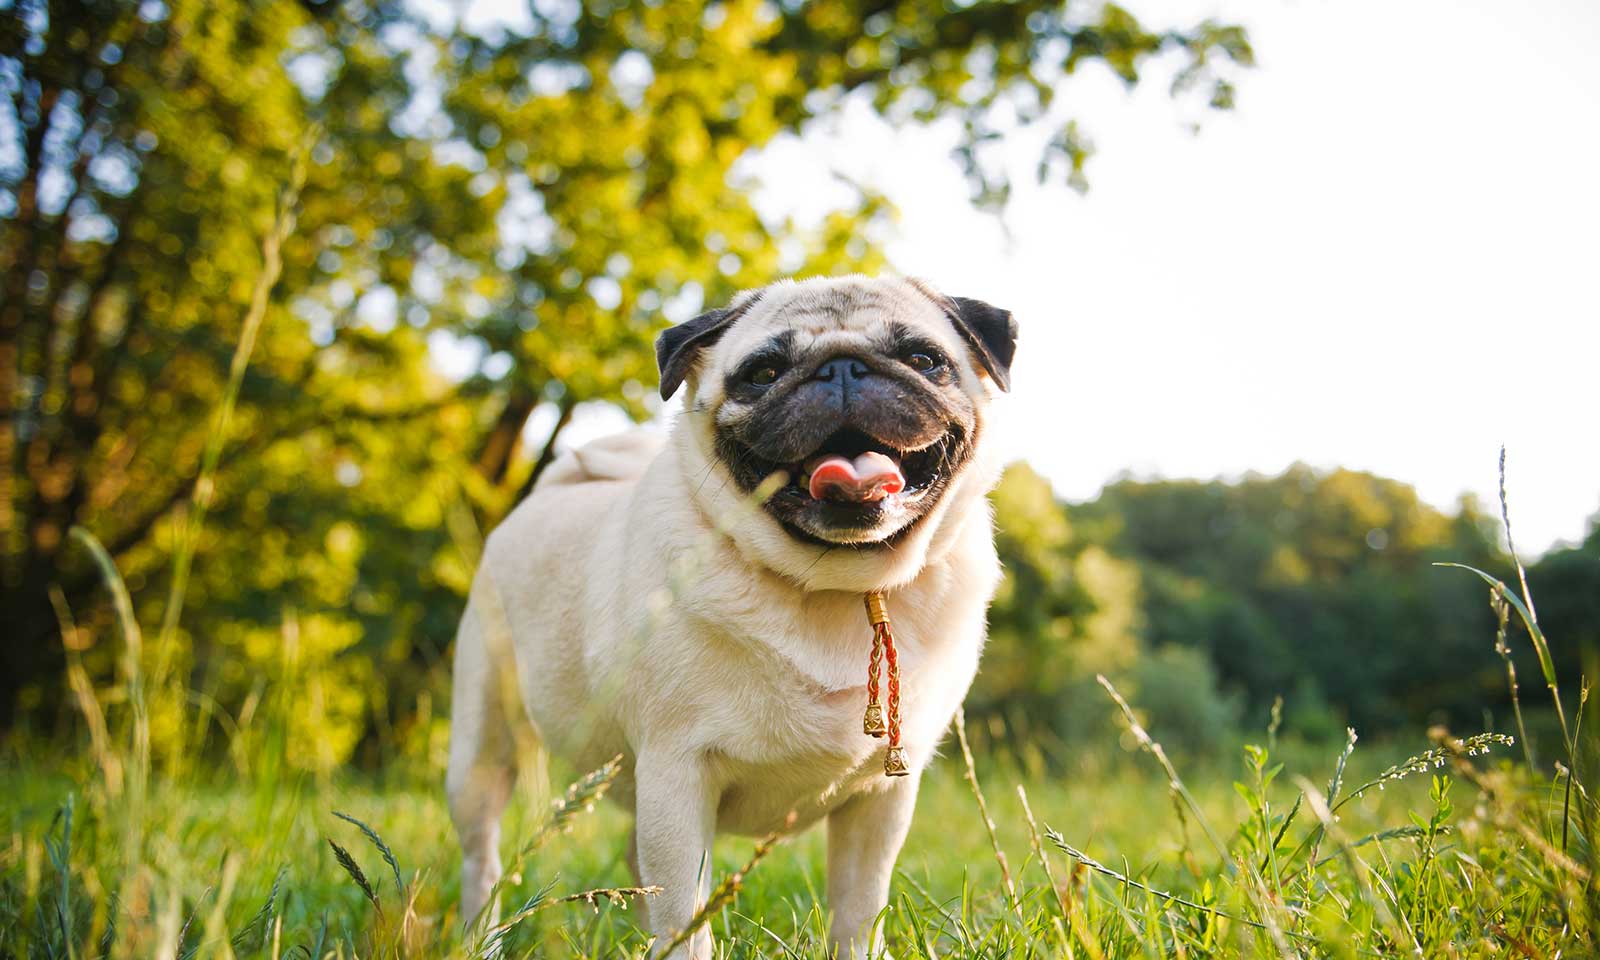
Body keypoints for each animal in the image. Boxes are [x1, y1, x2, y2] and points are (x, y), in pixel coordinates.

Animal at [448, 273, 1011, 953]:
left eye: (924, 360)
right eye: (763, 373)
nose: (842, 367)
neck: (838, 583)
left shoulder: (880, 797)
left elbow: (859, 908)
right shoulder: (677, 776)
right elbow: (685, 919)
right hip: (482, 745)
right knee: (483, 857)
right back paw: (482, 939)